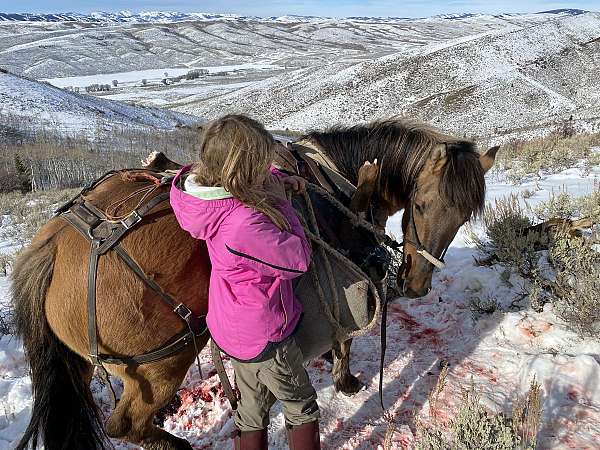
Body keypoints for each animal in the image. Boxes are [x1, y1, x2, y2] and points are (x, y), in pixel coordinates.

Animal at [11, 118, 500, 448]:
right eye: (420, 204)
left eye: (463, 217)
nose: (416, 283)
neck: (334, 179)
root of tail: (51, 248)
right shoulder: (343, 267)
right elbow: (343, 336)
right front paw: (345, 379)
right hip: (162, 363)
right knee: (125, 425)